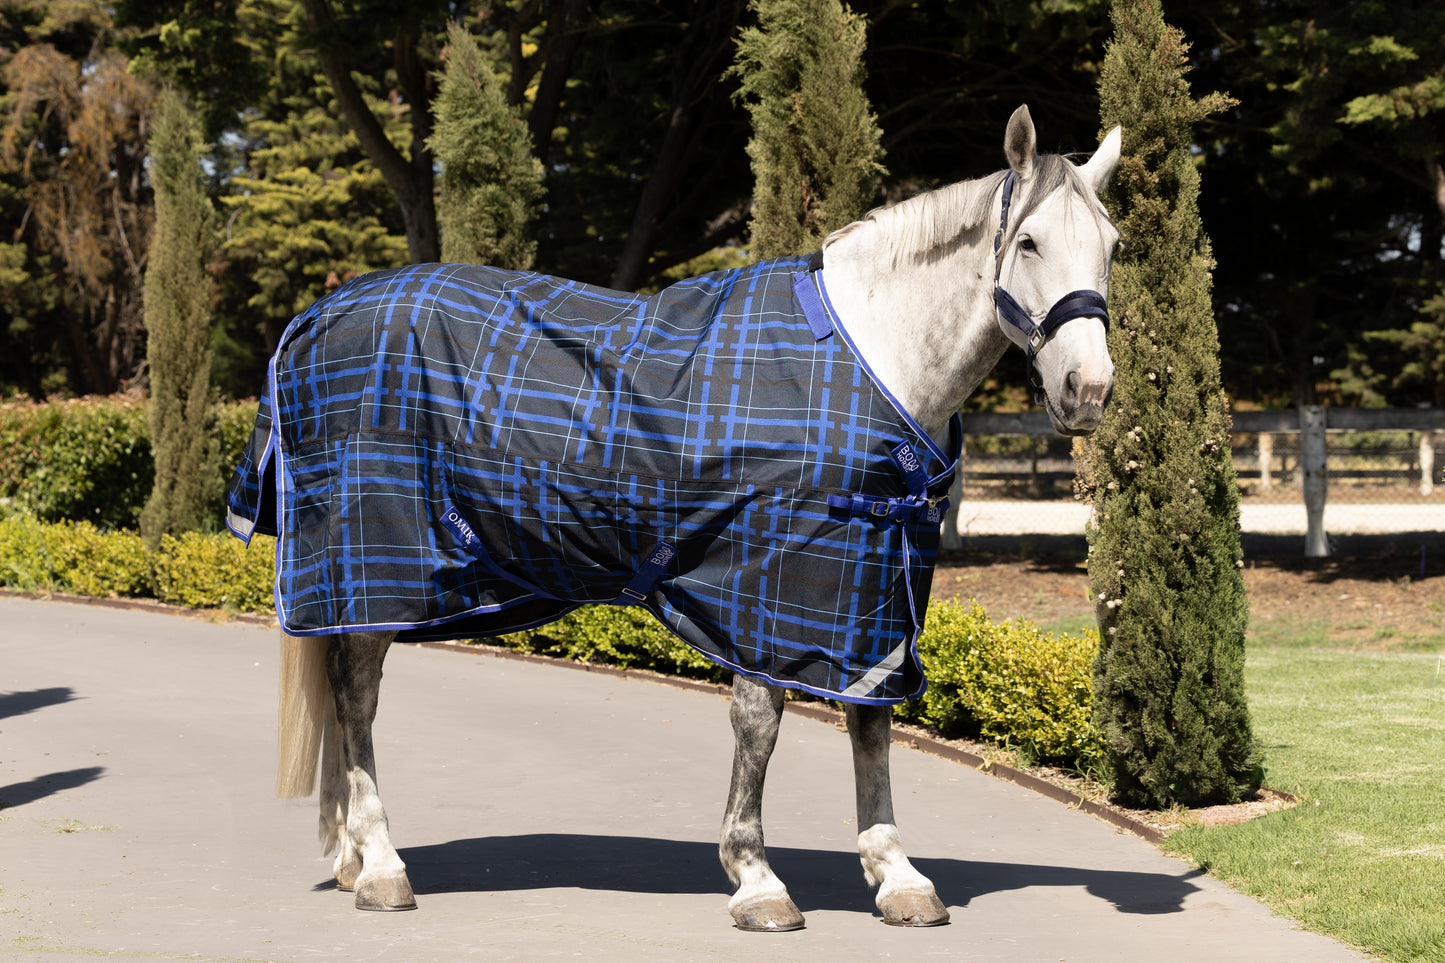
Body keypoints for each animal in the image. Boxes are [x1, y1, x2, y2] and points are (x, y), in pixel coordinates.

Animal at [228, 105, 1121, 931]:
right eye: (1029, 242)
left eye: (1111, 245)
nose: (1087, 389)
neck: (870, 358)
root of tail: (310, 320)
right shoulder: (771, 573)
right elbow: (758, 722)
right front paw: (756, 879)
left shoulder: (873, 582)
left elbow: (870, 721)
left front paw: (897, 875)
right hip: (373, 560)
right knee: (357, 695)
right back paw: (381, 865)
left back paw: (353, 856)